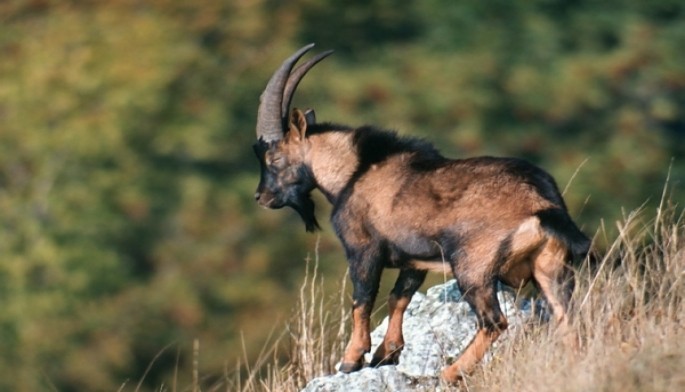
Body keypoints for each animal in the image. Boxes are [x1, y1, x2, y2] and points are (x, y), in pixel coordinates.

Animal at [251, 43, 588, 382]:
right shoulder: (414, 260)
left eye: (274, 158)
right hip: (551, 268)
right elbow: (399, 297)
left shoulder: (363, 248)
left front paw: (352, 359)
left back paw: (450, 372)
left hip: (473, 267)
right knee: (566, 319)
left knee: (494, 321)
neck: (355, 172)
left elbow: (362, 300)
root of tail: (542, 204)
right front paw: (386, 354)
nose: (261, 196)